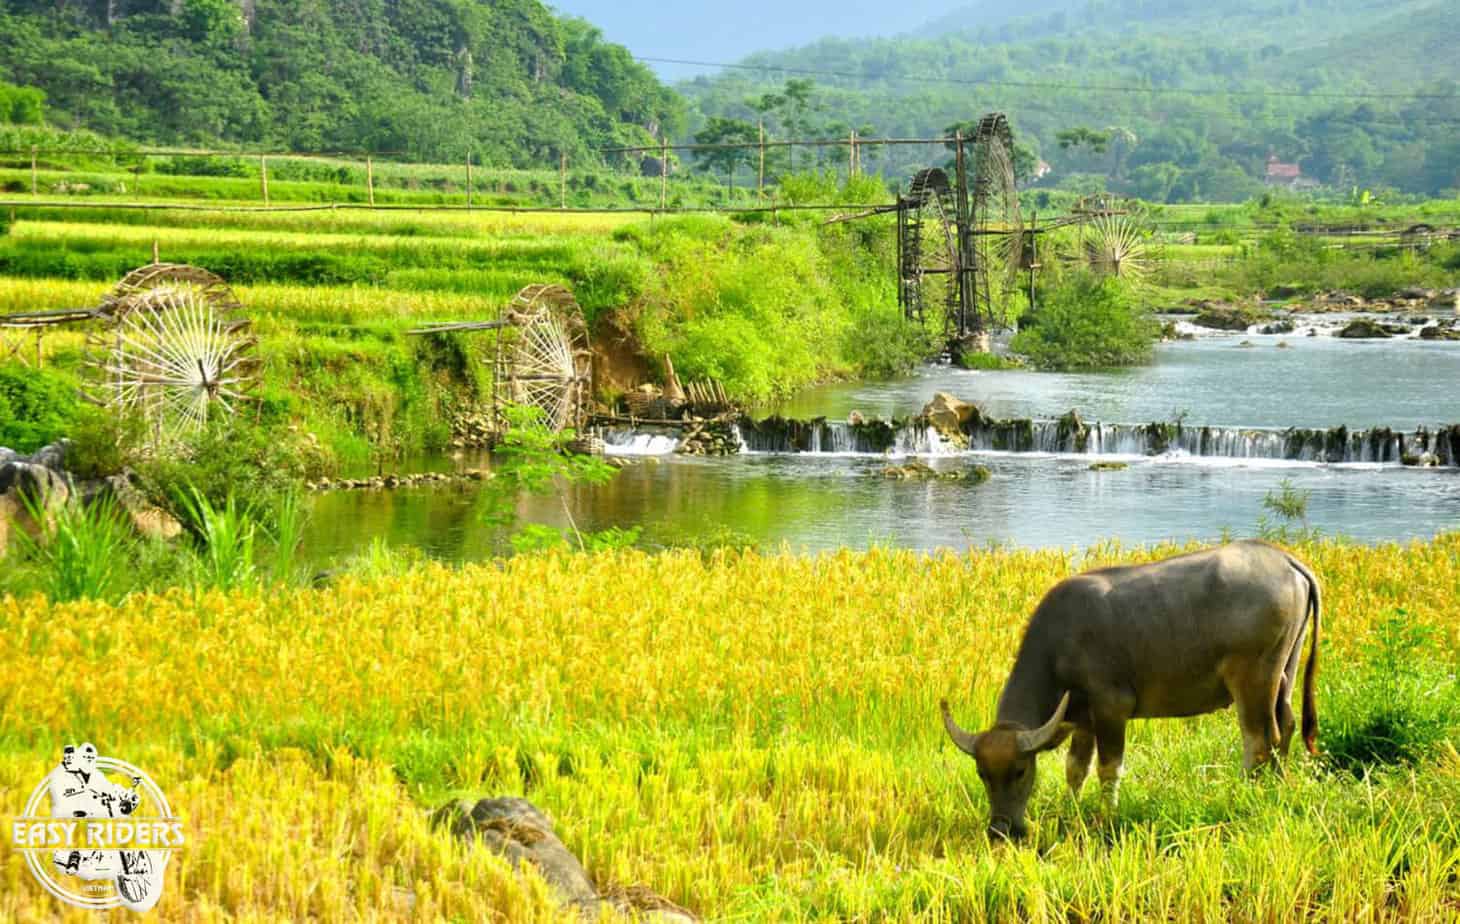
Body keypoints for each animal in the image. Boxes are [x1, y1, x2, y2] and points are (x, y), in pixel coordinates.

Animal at [940, 537, 1319, 840]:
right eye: (982, 774)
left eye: (1020, 771)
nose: (1000, 830)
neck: (1059, 645)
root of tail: (1283, 559)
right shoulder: (1083, 719)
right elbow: (1075, 768)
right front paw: (1070, 808)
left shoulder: (1111, 708)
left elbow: (1109, 769)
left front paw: (1106, 816)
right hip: (1285, 671)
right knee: (1285, 726)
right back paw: (1278, 783)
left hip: (1253, 679)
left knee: (1257, 740)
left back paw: (1241, 792)